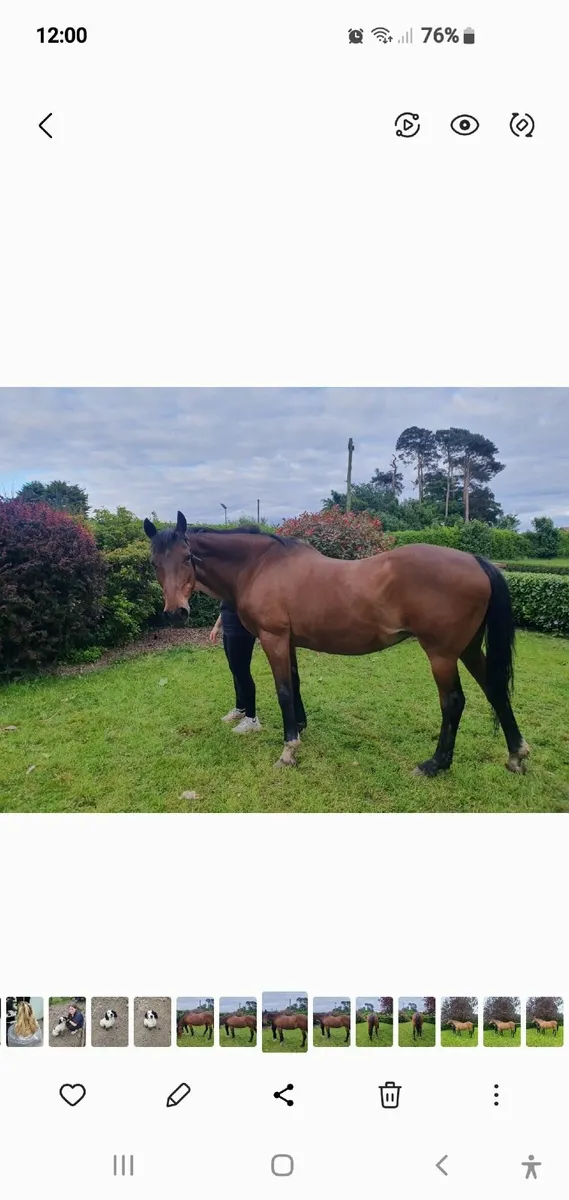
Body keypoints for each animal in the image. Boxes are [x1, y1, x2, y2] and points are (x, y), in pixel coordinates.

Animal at [144, 515, 529, 777]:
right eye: (154, 562)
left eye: (187, 558)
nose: (176, 613)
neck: (259, 566)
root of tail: (476, 561)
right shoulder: (289, 641)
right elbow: (296, 684)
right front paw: (299, 728)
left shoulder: (273, 638)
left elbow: (283, 690)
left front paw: (289, 750)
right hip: (467, 648)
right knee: (495, 689)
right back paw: (515, 755)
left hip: (442, 654)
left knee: (453, 702)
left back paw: (435, 764)